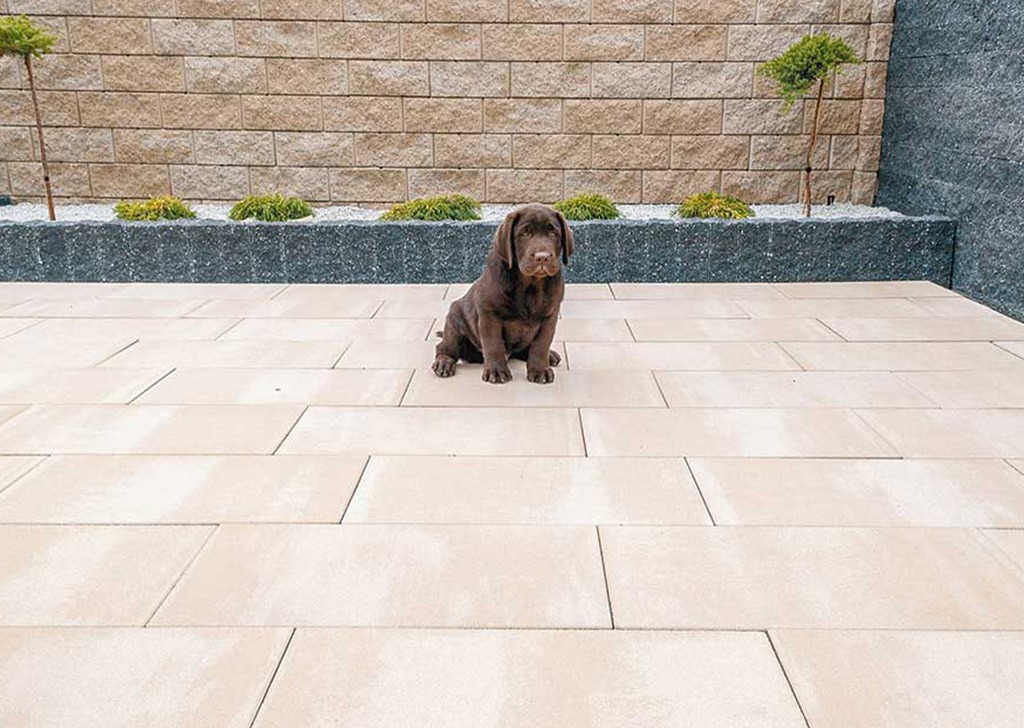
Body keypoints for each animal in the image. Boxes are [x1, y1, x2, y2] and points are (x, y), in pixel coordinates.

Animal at [432, 203, 573, 385]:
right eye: (524, 233)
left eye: (553, 233)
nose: (542, 257)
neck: (530, 285)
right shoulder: (489, 314)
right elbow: (494, 344)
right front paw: (497, 371)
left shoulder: (550, 315)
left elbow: (541, 345)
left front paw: (540, 370)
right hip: (455, 323)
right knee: (444, 348)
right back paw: (444, 363)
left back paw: (550, 356)